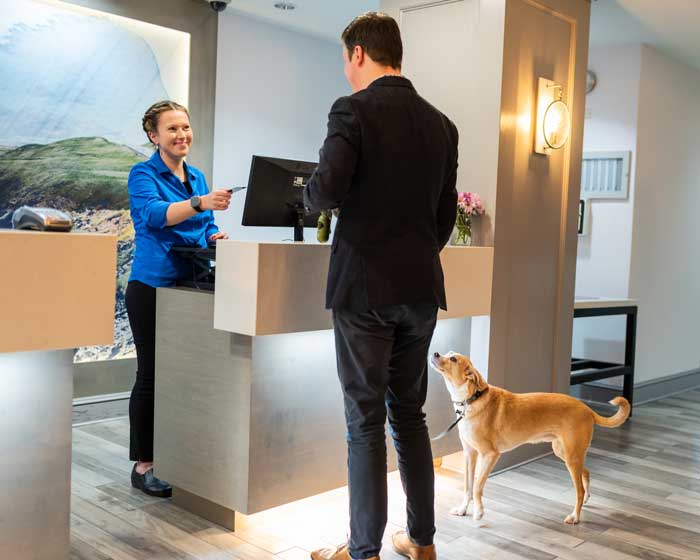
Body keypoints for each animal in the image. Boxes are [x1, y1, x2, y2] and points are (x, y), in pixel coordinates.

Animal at [430, 352, 632, 524]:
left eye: (453, 359)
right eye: (448, 353)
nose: (435, 353)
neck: (471, 400)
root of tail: (587, 409)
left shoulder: (489, 455)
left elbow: (478, 486)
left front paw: (479, 512)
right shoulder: (469, 454)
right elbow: (468, 486)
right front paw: (462, 509)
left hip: (571, 457)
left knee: (579, 491)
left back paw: (575, 516)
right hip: (564, 452)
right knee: (586, 472)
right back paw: (586, 501)